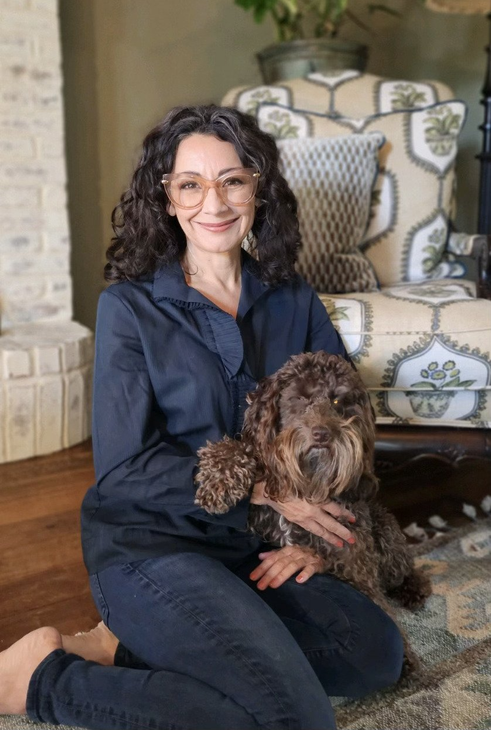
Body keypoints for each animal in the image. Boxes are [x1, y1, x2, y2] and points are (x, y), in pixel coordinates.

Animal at [194, 350, 432, 672]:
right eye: (300, 398)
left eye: (337, 401)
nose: (322, 434)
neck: (308, 481)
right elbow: (245, 449)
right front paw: (219, 476)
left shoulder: (354, 557)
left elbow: (377, 603)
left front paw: (407, 662)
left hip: (384, 532)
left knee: (403, 568)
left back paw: (414, 588)